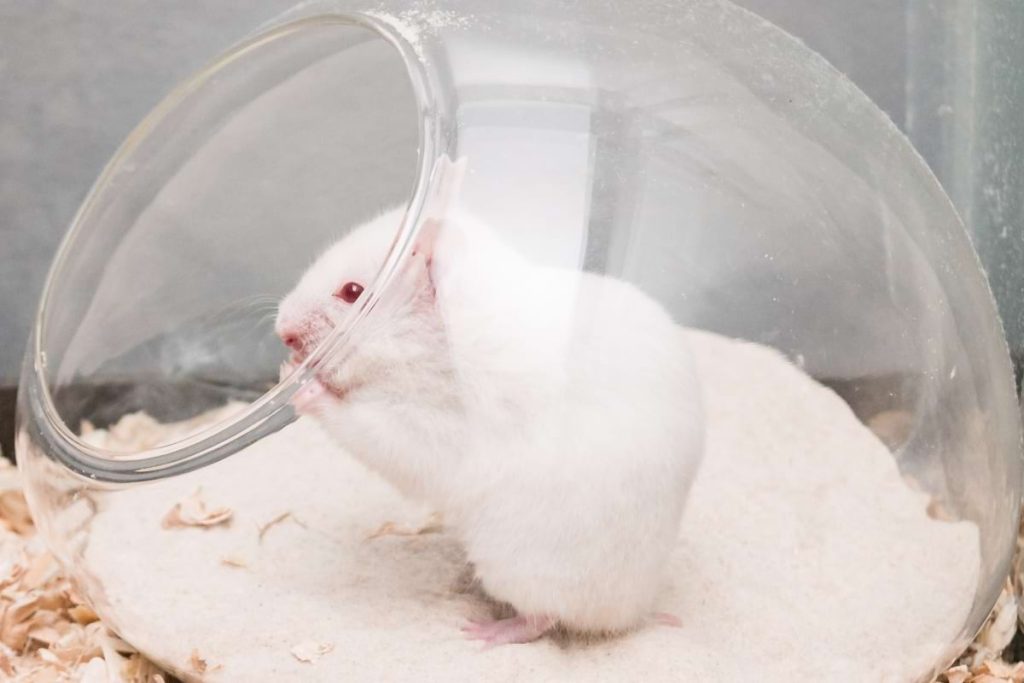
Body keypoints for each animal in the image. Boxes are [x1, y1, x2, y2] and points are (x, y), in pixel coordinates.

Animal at [275, 204, 705, 646]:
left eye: (352, 291)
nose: (280, 331)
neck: (429, 343)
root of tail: (634, 615)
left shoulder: (423, 430)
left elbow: (362, 426)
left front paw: (295, 382)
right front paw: (289, 368)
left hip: (518, 565)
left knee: (543, 620)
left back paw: (482, 631)